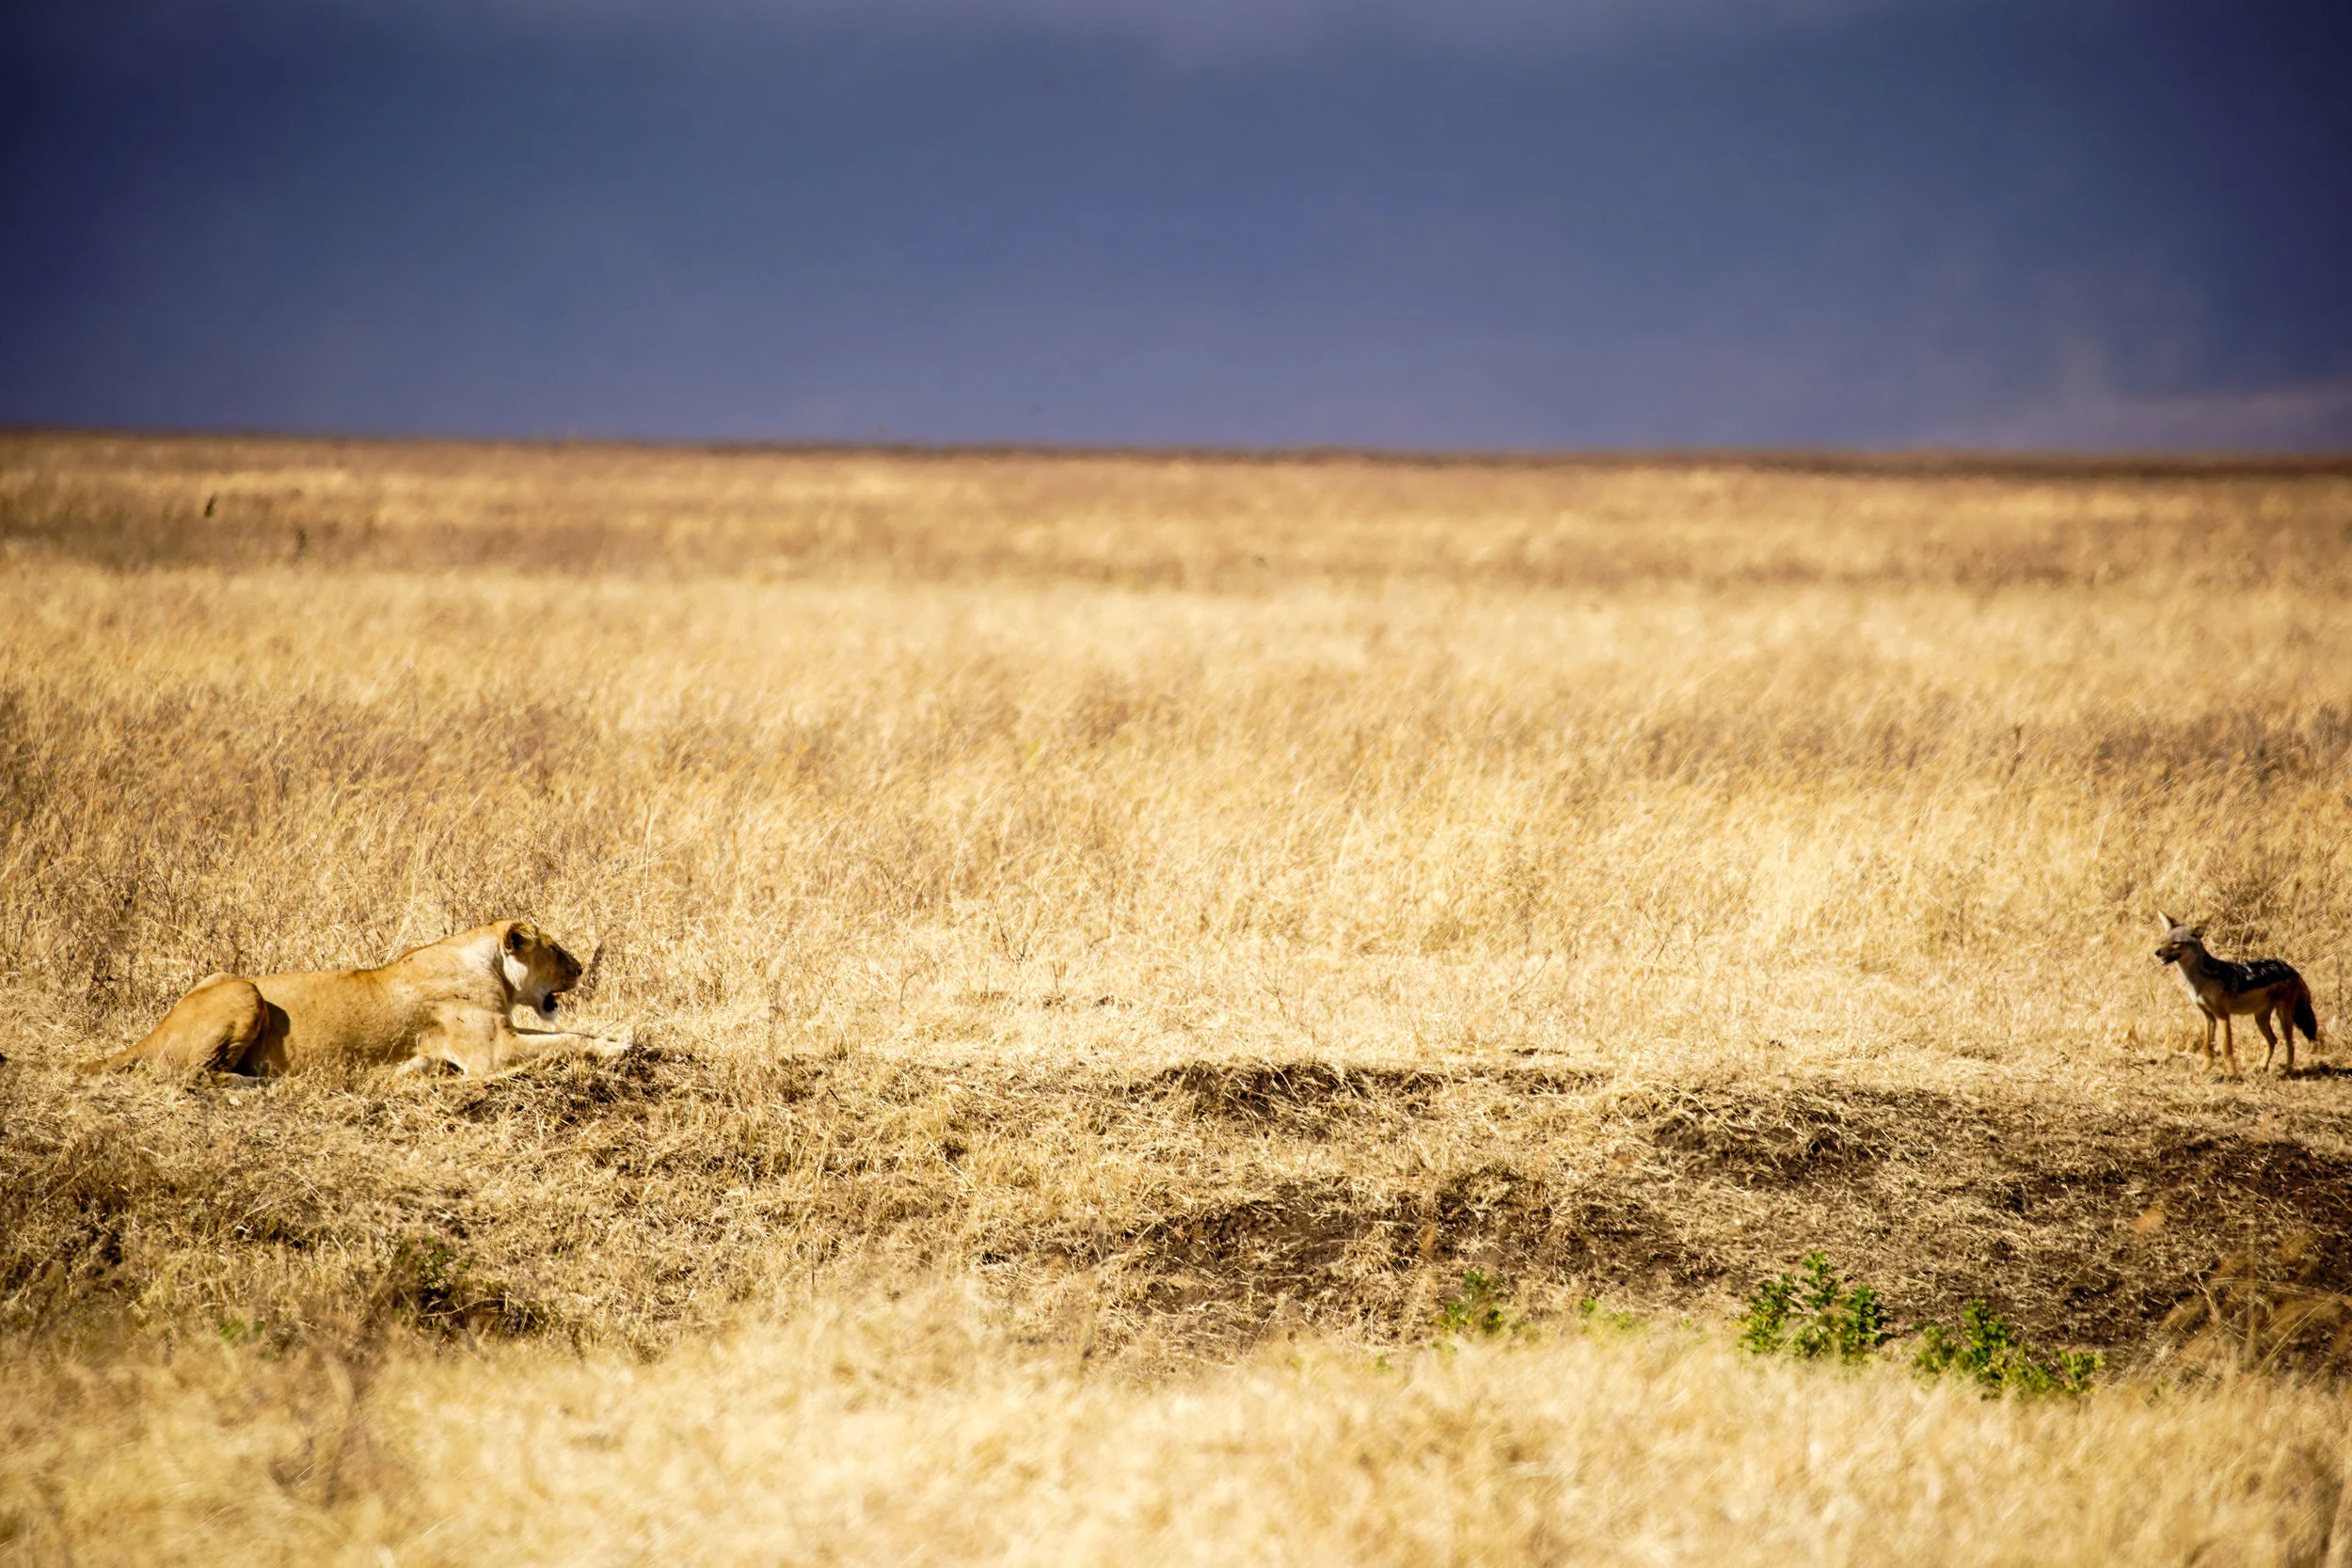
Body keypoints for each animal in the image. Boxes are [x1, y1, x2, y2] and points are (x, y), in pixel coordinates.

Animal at [87, 919, 633, 1079]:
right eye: (557, 950)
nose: (581, 969)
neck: (489, 967)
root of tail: (152, 1032)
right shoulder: (493, 1051)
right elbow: (563, 1040)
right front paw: (615, 1047)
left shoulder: (504, 1033)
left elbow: (566, 1030)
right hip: (245, 991)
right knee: (194, 1076)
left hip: (224, 978)